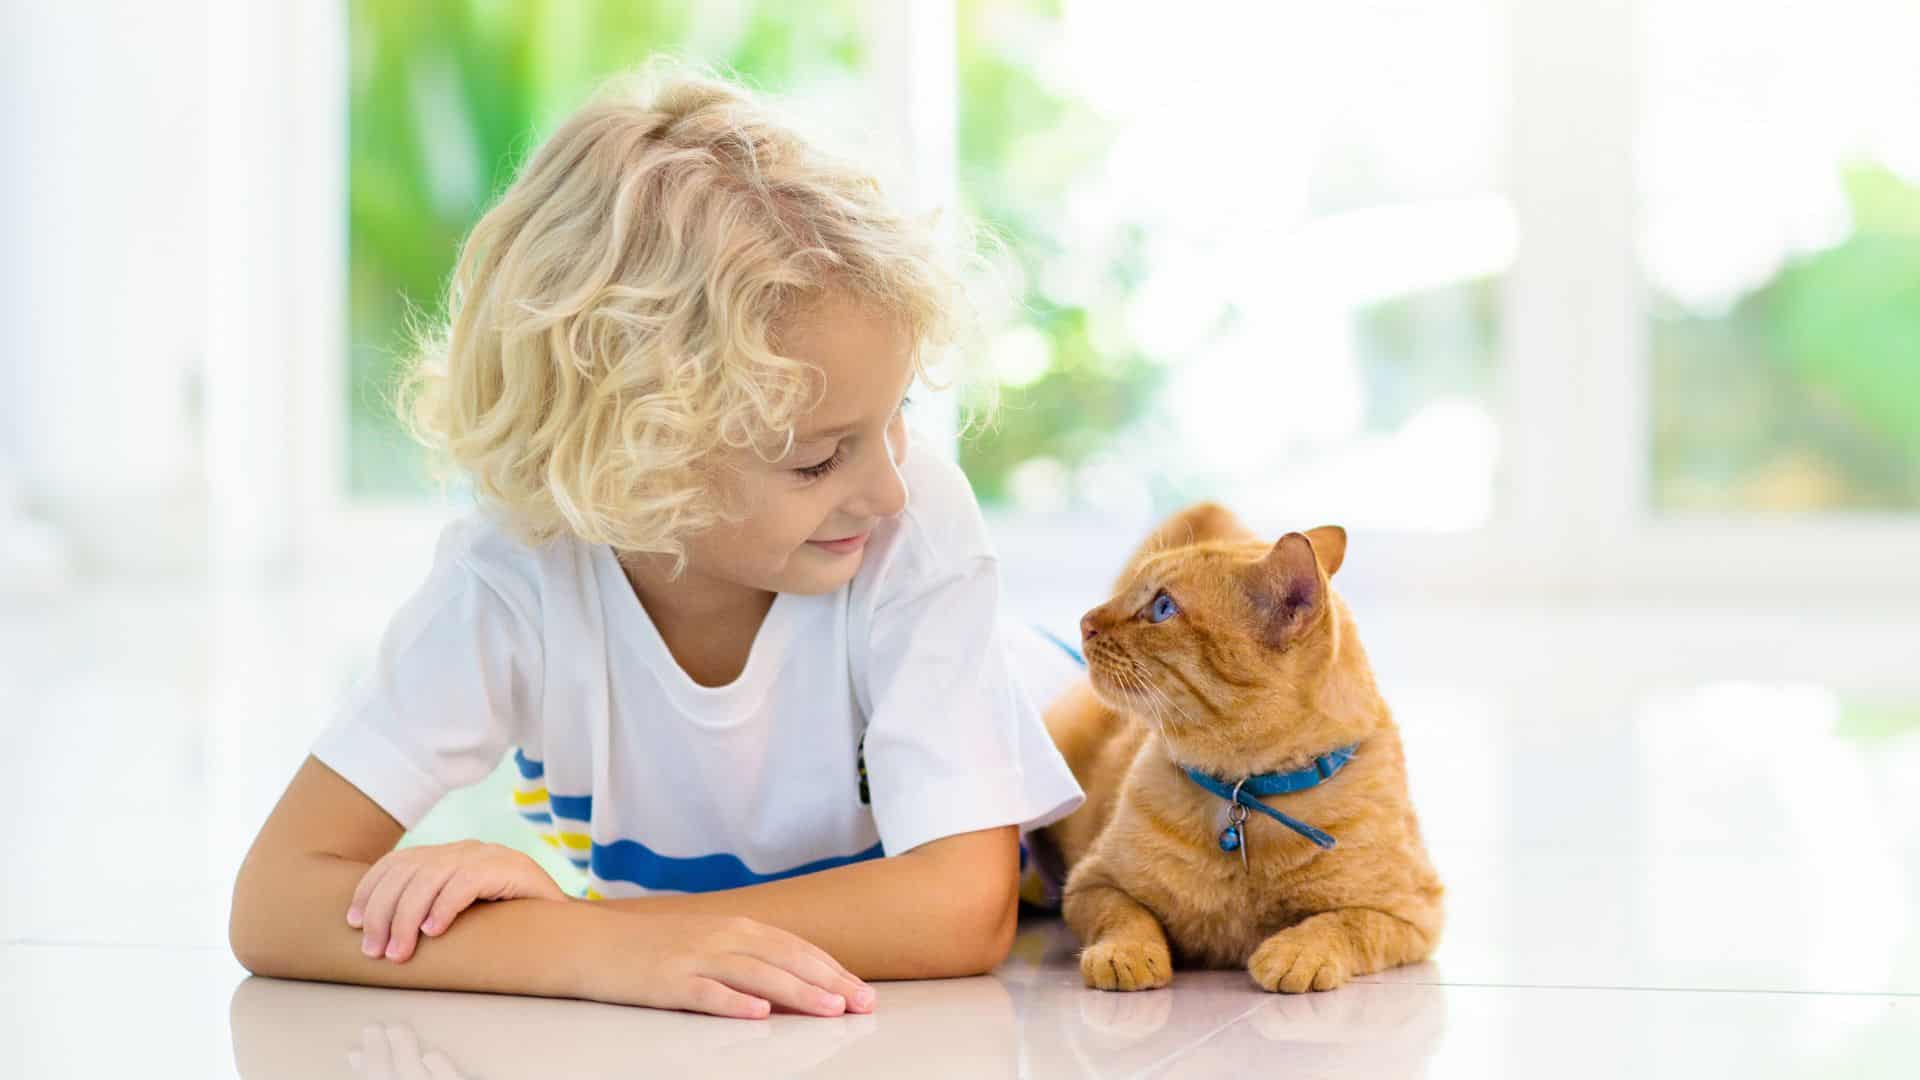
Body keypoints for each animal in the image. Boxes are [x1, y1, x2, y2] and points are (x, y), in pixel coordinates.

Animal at [1036, 499, 1443, 991]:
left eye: (1162, 607)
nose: (1085, 622)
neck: (1245, 793)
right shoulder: (1090, 883)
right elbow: (1125, 916)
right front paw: (1126, 955)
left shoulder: (1412, 914)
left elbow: (1342, 923)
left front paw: (1295, 953)